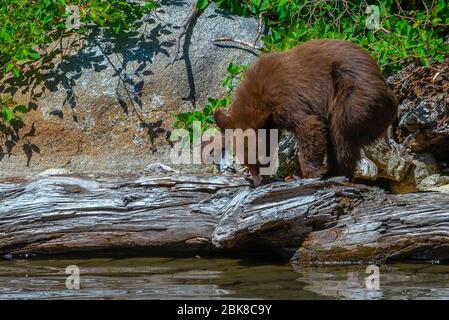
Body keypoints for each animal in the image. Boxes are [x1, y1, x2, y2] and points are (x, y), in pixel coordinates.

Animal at [215, 40, 398, 185]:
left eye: (261, 158)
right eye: (245, 161)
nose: (259, 182)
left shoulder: (288, 100)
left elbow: (309, 126)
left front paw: (309, 173)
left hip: (355, 97)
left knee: (341, 133)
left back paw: (335, 172)